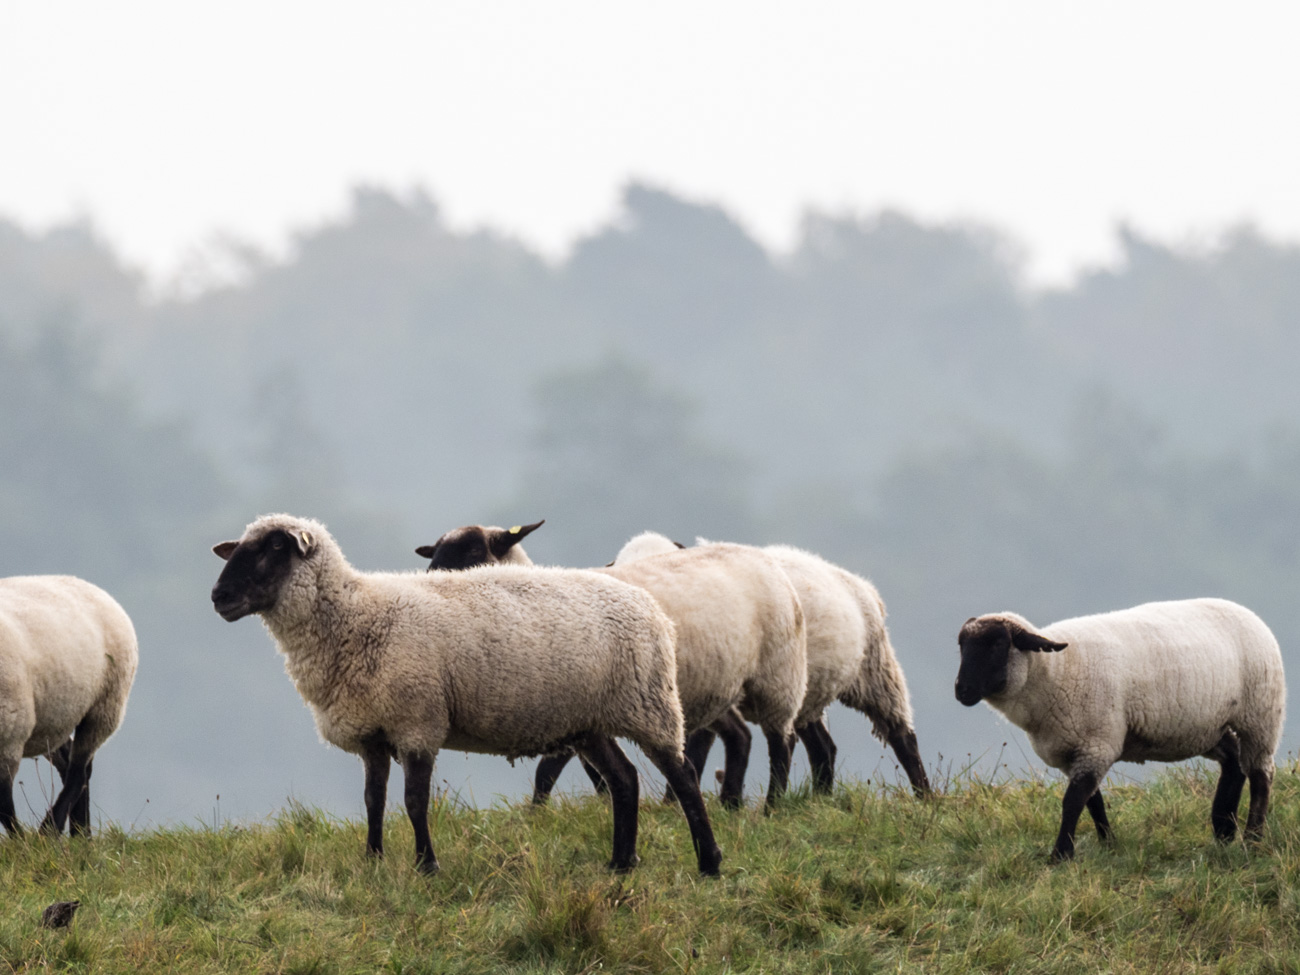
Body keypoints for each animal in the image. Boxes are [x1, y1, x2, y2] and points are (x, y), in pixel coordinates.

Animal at [0, 575, 139, 838]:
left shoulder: (11, 735)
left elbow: (3, 804)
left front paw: (21, 842)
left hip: (104, 705)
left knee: (79, 770)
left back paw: (53, 831)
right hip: (54, 718)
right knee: (70, 764)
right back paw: (79, 835)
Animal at [211, 514, 722, 876]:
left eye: (276, 547)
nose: (218, 597)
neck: (355, 616)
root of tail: (648, 604)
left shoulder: (417, 720)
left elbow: (414, 801)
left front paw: (427, 866)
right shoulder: (372, 732)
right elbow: (373, 800)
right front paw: (373, 861)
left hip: (648, 702)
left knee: (683, 776)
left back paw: (709, 862)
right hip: (589, 721)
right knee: (625, 780)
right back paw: (620, 864)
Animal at [416, 526, 809, 810]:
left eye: (472, 552)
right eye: (434, 553)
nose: (428, 584)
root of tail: (759, 555)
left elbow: (551, 769)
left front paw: (539, 813)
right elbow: (587, 770)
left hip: (778, 671)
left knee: (781, 740)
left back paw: (771, 805)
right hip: (705, 685)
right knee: (737, 735)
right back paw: (725, 803)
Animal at [955, 598, 1286, 861]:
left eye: (998, 644)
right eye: (961, 645)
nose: (962, 691)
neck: (1052, 673)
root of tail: (1247, 612)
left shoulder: (1098, 743)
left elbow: (1073, 801)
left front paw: (1061, 855)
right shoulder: (1073, 751)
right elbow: (1093, 801)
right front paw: (1108, 844)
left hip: (1260, 716)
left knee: (1260, 774)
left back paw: (1252, 839)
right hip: (1206, 727)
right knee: (1233, 760)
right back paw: (1223, 829)